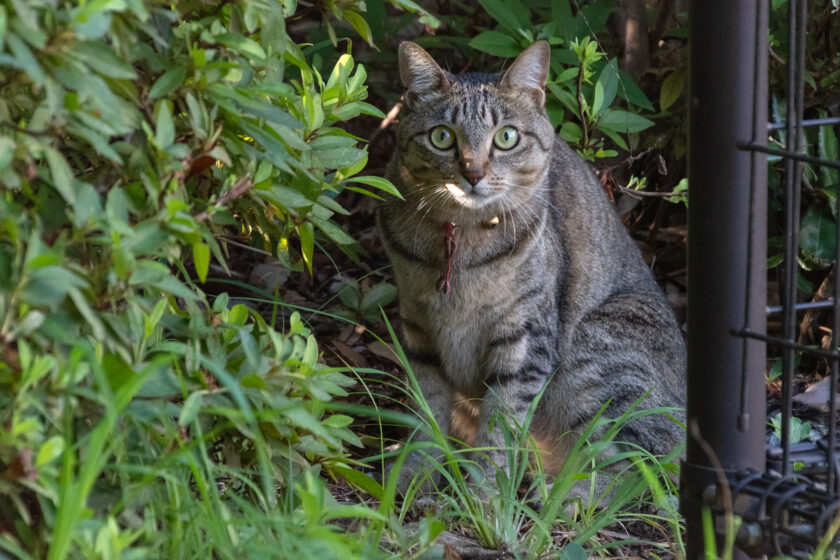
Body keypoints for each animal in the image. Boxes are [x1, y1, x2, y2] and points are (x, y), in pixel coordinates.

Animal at [378, 39, 684, 494]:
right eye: (441, 137)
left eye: (506, 137)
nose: (473, 173)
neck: (460, 243)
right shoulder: (418, 327)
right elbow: (426, 410)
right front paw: (414, 473)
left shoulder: (524, 334)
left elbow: (502, 421)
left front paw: (483, 493)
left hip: (594, 354)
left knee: (641, 469)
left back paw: (562, 496)